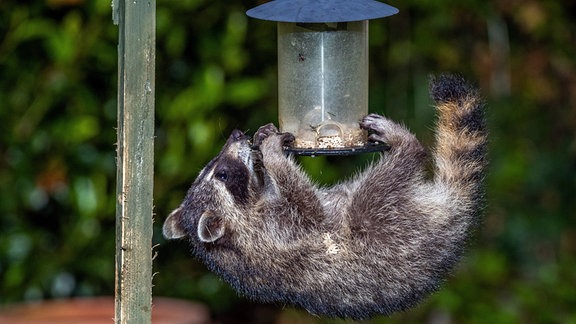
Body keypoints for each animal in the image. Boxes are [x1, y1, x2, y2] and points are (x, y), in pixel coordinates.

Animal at [162, 75, 486, 318]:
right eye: (222, 175)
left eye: (212, 168)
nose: (237, 135)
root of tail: (452, 216)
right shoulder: (277, 233)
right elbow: (309, 208)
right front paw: (273, 156)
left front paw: (264, 150)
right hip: (390, 228)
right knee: (375, 192)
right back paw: (406, 145)